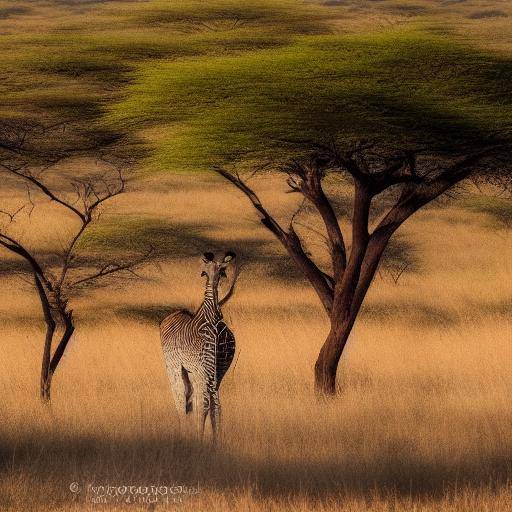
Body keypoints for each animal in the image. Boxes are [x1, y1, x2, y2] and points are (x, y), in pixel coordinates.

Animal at [160, 252, 238, 440]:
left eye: (222, 272)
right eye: (205, 272)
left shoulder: (192, 368)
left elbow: (189, 401)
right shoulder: (206, 369)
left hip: (185, 369)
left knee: (186, 399)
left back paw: (194, 437)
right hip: (213, 371)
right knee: (212, 403)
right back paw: (212, 440)